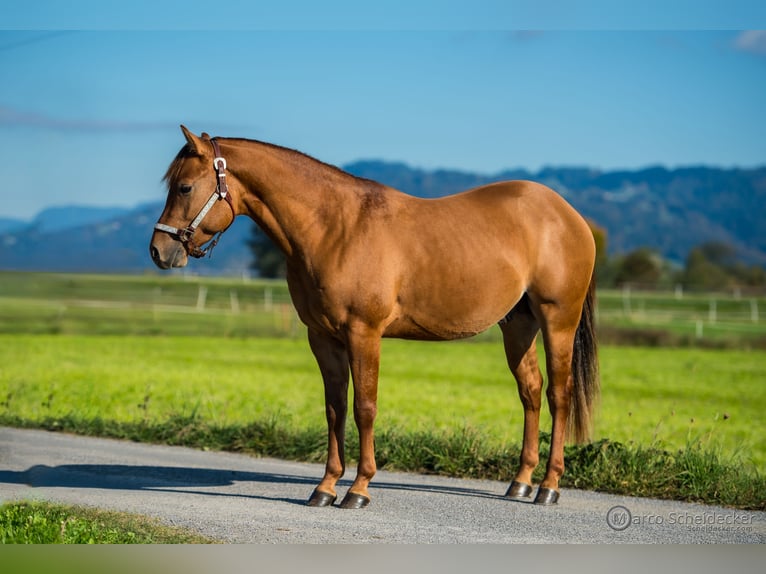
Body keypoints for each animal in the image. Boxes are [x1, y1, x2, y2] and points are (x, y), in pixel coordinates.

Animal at [150, 126, 599, 509]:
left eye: (185, 186)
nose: (158, 251)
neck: (334, 228)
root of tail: (568, 215)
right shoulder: (322, 338)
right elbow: (335, 408)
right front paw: (326, 487)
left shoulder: (363, 334)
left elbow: (365, 406)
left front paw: (359, 489)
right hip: (518, 325)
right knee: (531, 392)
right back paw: (520, 482)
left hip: (558, 321)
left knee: (559, 396)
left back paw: (548, 486)